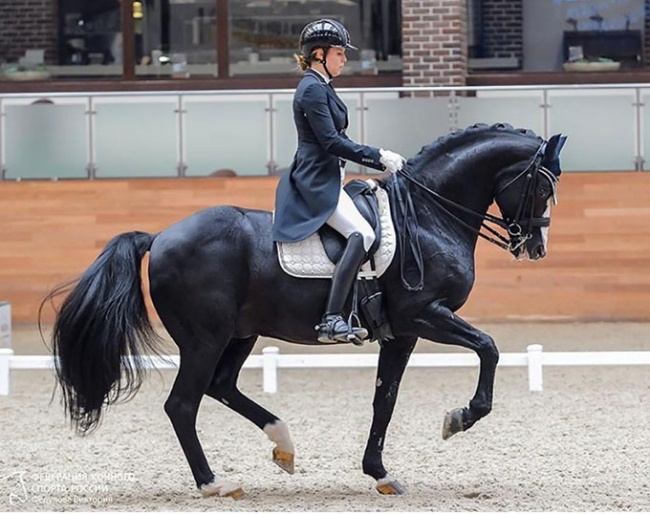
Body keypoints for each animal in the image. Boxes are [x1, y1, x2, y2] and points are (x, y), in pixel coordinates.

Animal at [45, 123, 564, 496]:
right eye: (542, 187)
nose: (535, 247)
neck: (428, 216)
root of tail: (160, 237)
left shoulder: (403, 332)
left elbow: (385, 399)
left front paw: (379, 473)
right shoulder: (424, 315)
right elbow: (489, 347)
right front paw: (460, 418)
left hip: (240, 333)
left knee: (220, 386)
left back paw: (283, 445)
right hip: (204, 339)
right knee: (182, 405)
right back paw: (214, 484)